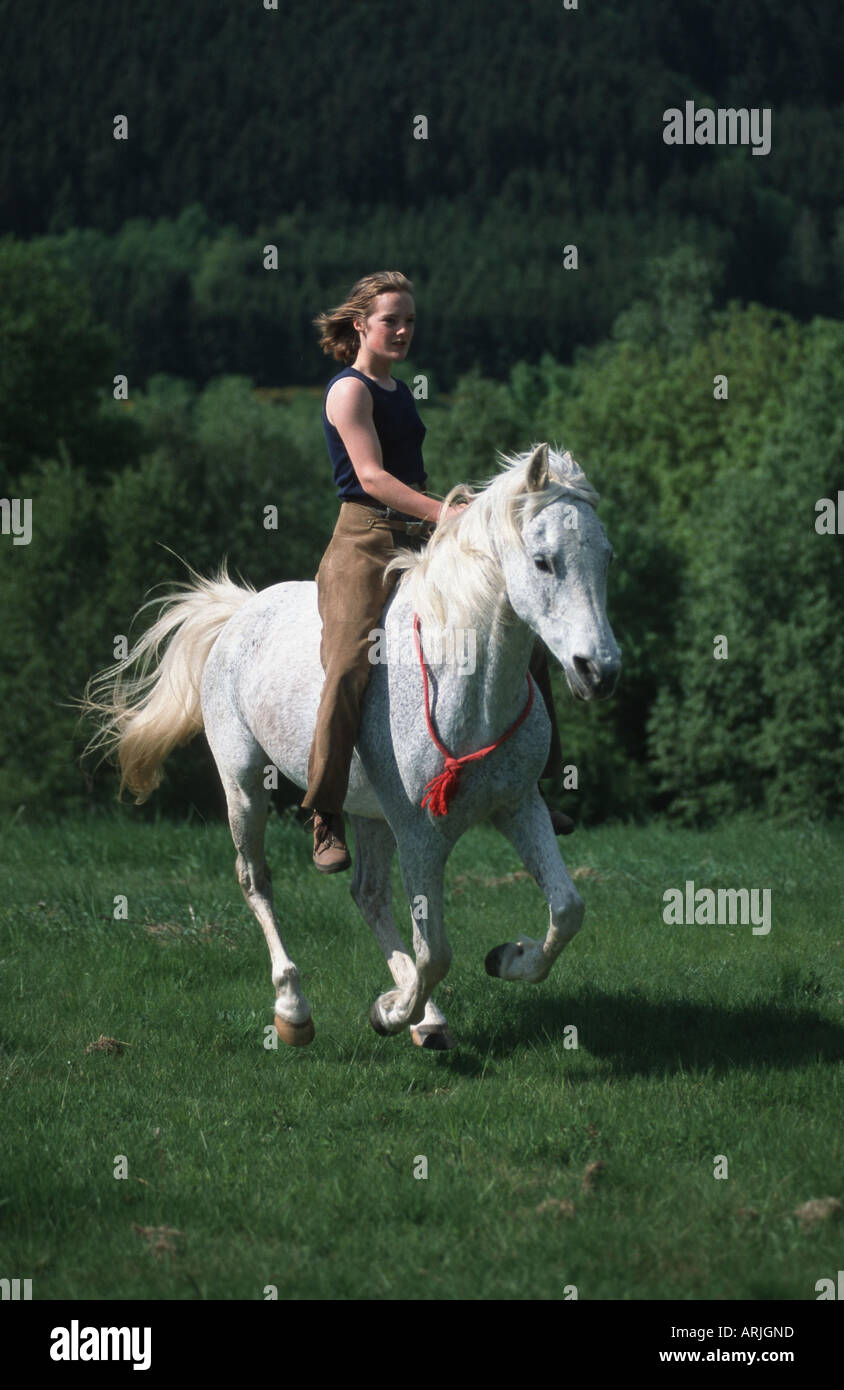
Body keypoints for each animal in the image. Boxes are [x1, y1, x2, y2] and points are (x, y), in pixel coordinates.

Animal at [82, 447, 617, 1050]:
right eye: (544, 562)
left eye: (605, 559)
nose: (599, 671)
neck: (466, 685)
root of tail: (241, 612)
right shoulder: (420, 833)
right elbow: (436, 952)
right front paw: (388, 1013)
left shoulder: (518, 805)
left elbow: (567, 909)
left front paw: (507, 958)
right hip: (243, 785)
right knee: (257, 881)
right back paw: (295, 1009)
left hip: (368, 811)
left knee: (368, 893)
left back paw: (426, 1018)